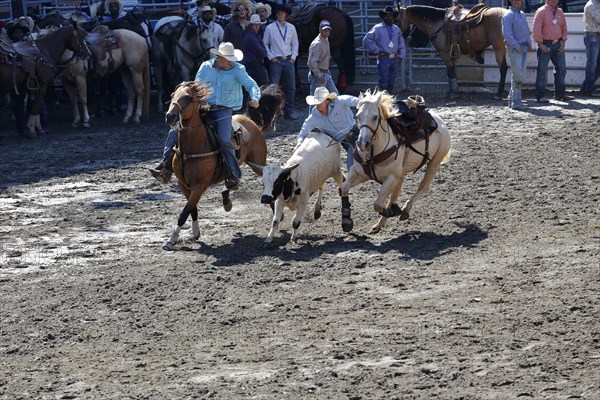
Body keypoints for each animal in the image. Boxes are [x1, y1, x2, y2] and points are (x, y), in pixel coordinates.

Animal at [159, 81, 282, 250]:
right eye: (172, 95)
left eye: (187, 97)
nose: (169, 116)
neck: (193, 146)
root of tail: (247, 118)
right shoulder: (183, 184)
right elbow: (192, 209)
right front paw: (195, 233)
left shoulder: (200, 185)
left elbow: (184, 212)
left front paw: (171, 240)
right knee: (231, 180)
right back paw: (227, 197)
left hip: (257, 162)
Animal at [342, 90, 450, 234]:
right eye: (358, 116)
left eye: (375, 117)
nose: (362, 144)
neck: (373, 151)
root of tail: (439, 121)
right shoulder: (358, 173)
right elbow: (344, 188)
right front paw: (346, 220)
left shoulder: (391, 177)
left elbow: (377, 204)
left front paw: (391, 212)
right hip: (402, 173)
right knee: (395, 195)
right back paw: (380, 223)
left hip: (434, 162)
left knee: (423, 186)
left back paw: (404, 210)